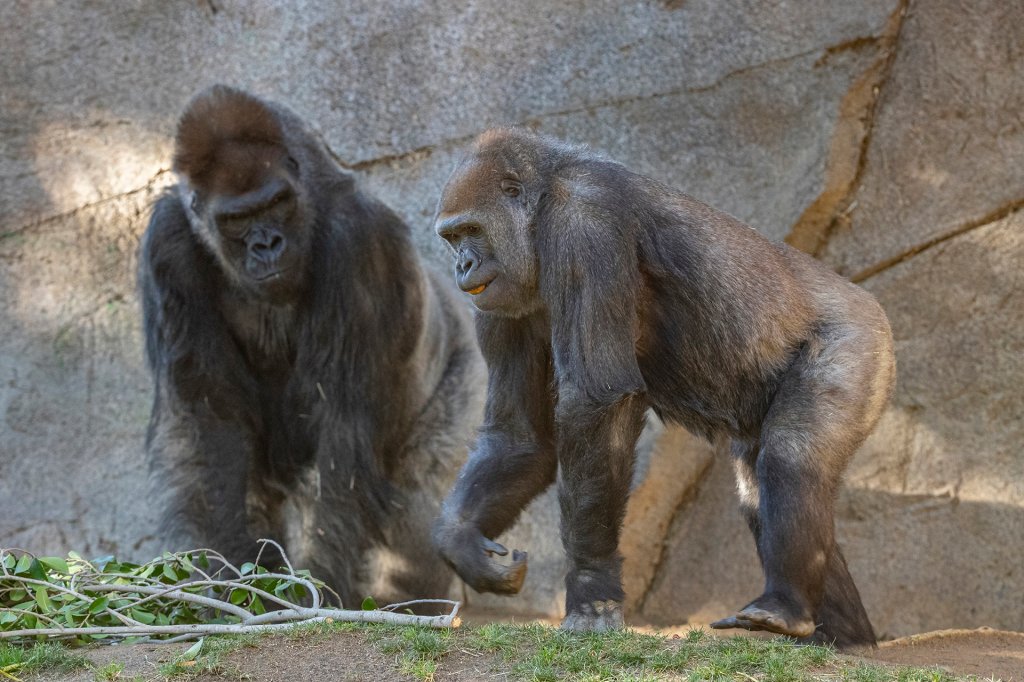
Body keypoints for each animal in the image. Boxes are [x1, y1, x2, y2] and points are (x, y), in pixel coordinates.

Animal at [139, 86, 483, 606]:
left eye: (277, 202)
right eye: (236, 219)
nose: (267, 245)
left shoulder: (360, 241)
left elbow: (342, 442)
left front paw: (316, 591)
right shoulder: (168, 243)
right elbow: (214, 429)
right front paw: (231, 582)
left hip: (465, 377)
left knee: (417, 515)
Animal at [432, 129, 897, 647]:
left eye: (471, 231)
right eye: (452, 238)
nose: (463, 265)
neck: (543, 201)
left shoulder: (584, 222)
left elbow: (596, 402)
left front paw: (592, 584)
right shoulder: (497, 303)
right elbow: (520, 438)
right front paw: (460, 538)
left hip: (859, 340)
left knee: (792, 454)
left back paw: (788, 605)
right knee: (760, 486)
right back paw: (842, 633)